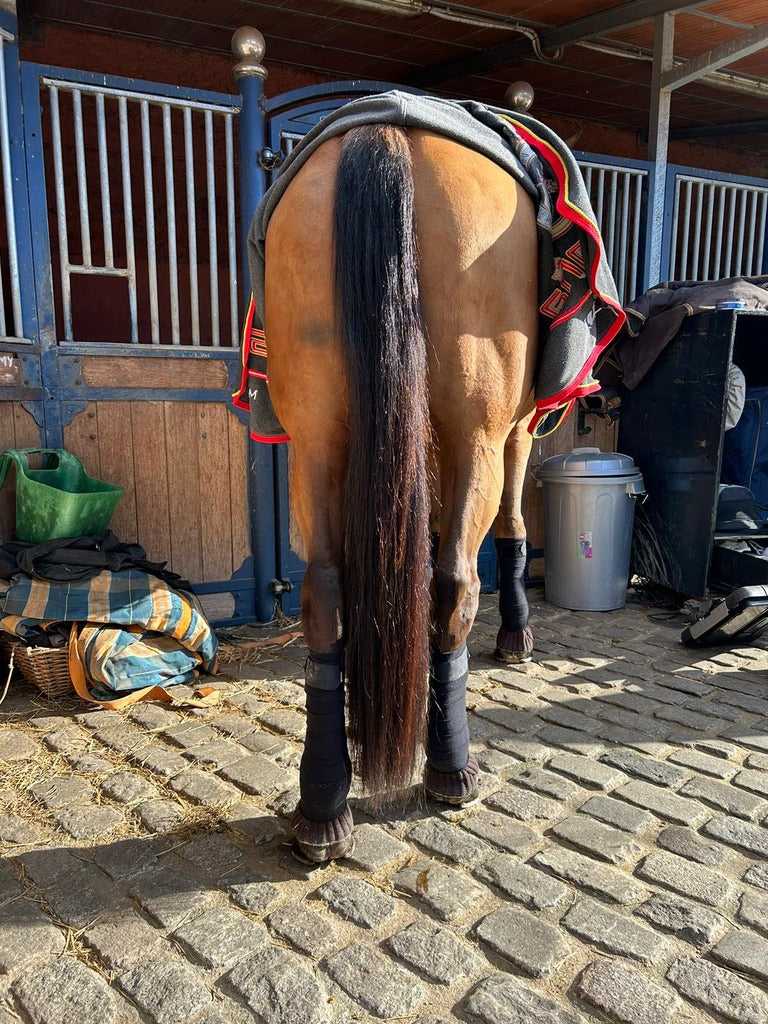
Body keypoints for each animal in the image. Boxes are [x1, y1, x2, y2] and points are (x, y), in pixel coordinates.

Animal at [262, 122, 538, 863]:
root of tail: (386, 132)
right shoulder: (516, 429)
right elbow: (513, 528)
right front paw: (518, 633)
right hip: (477, 431)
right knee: (454, 587)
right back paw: (451, 768)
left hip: (314, 436)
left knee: (324, 590)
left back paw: (323, 806)